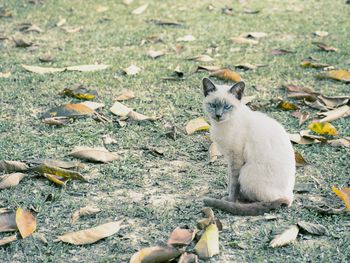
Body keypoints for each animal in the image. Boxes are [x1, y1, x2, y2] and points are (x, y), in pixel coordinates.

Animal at [202, 78, 296, 217]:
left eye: (227, 107)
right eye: (213, 105)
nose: (218, 115)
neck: (221, 126)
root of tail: (289, 197)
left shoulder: (236, 159)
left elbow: (233, 184)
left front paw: (230, 199)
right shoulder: (229, 158)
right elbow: (230, 179)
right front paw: (227, 194)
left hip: (245, 173)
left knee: (264, 201)